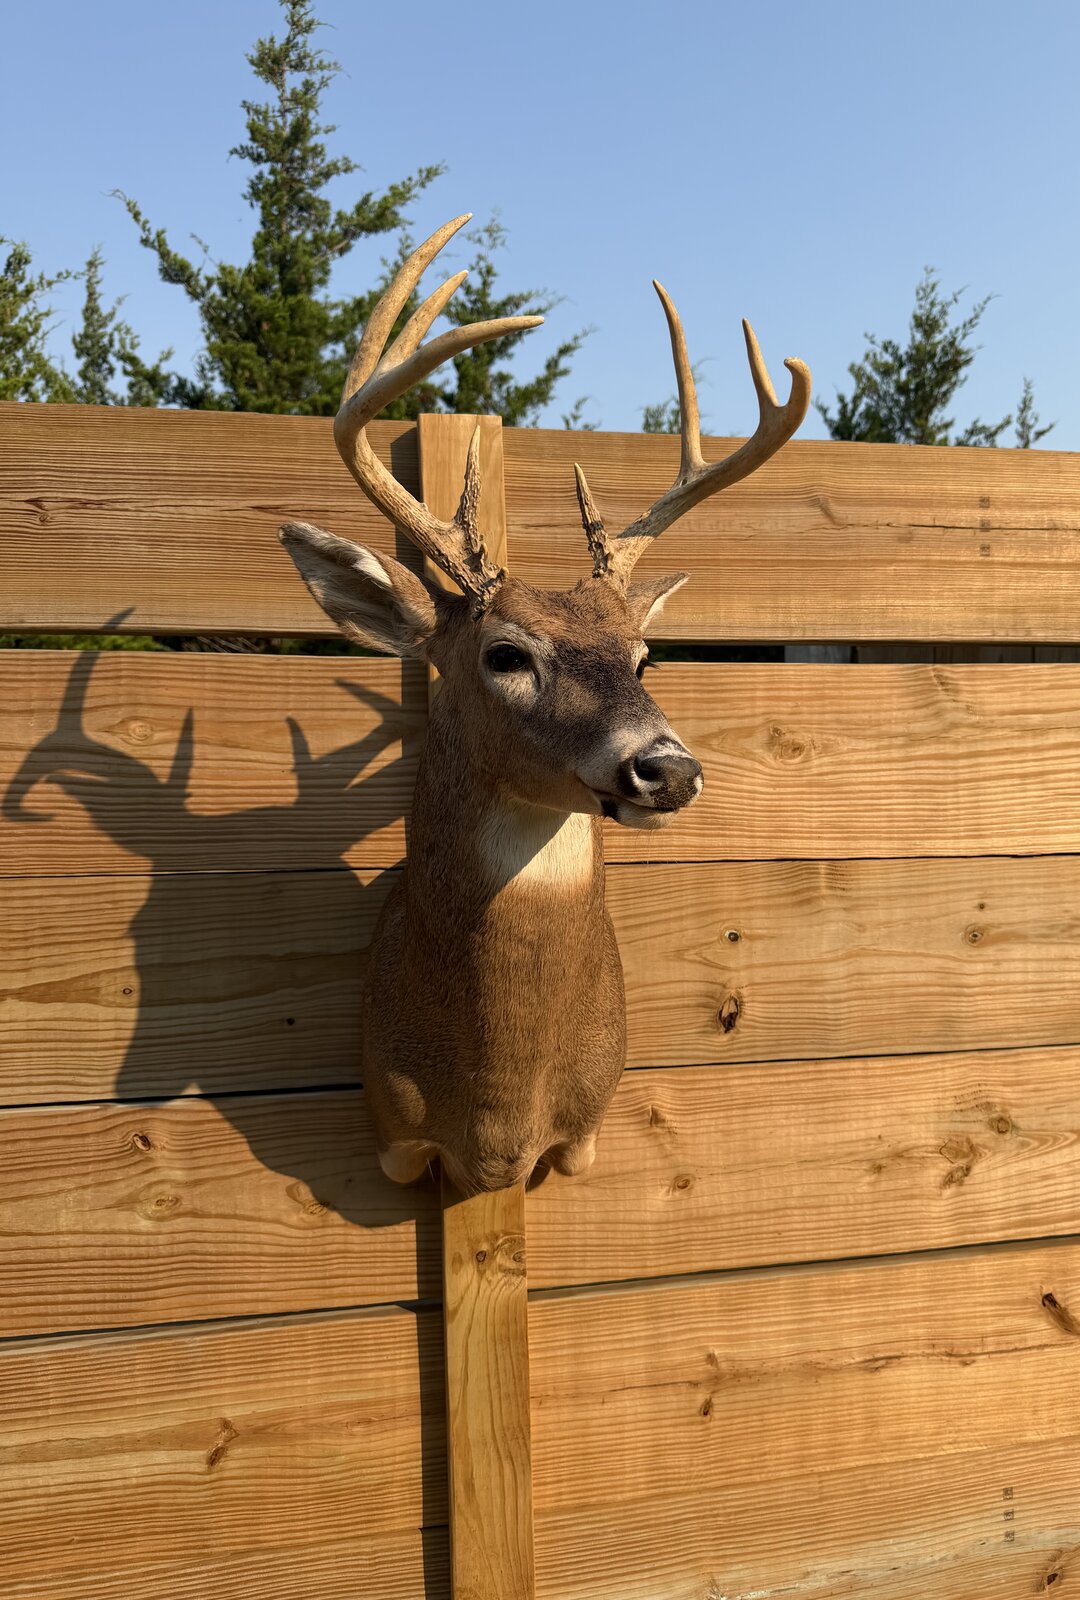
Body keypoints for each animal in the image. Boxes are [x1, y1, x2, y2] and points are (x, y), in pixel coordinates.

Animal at [279, 214, 810, 1195]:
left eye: (643, 655)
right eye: (505, 653)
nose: (668, 769)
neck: (500, 1116)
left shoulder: (584, 1134)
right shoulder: (393, 1134)